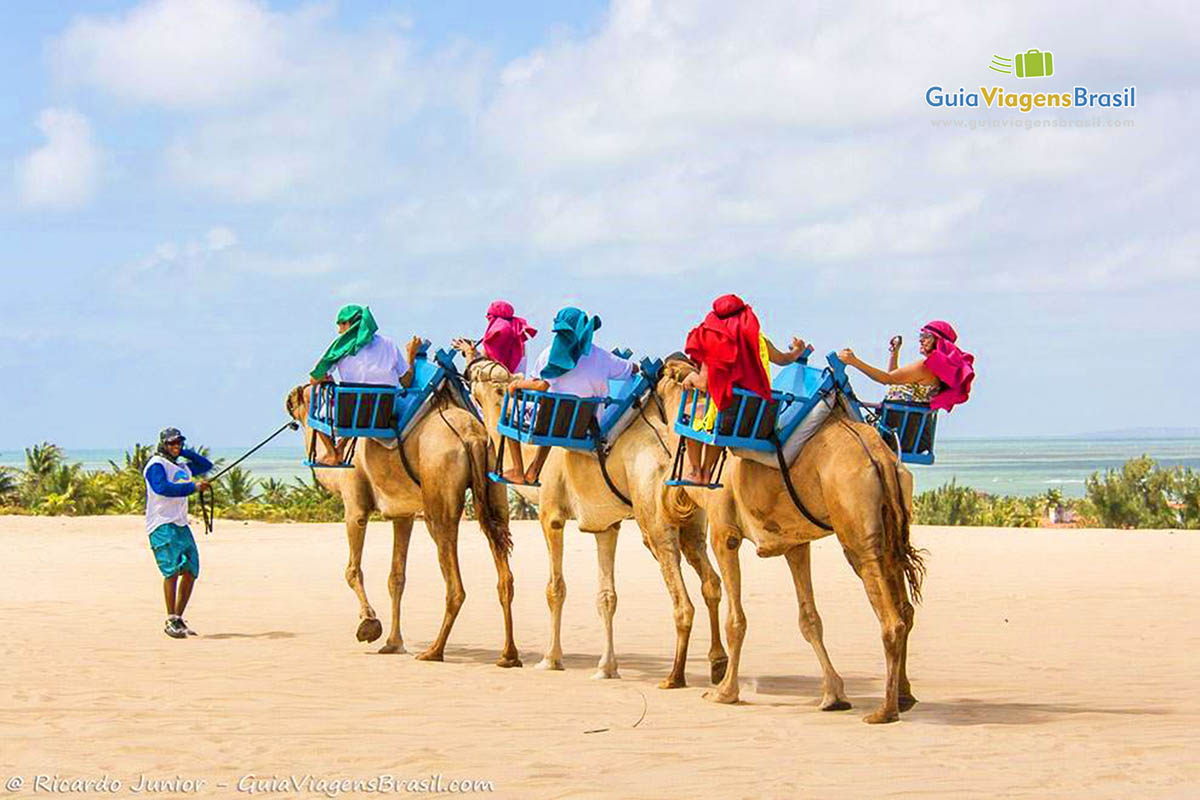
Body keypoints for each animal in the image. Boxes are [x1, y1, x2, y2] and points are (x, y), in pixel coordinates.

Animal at [288, 381, 523, 671]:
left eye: (303, 394)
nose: (288, 397)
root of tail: (472, 436)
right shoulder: (403, 515)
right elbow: (396, 578)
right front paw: (393, 643)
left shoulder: (355, 505)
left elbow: (352, 570)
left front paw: (369, 625)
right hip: (495, 485)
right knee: (505, 576)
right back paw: (508, 655)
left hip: (439, 492)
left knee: (454, 583)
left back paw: (434, 651)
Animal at [453, 347, 724, 690]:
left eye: (483, 372)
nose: (469, 360)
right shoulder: (606, 525)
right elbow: (607, 597)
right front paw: (607, 668)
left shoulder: (550, 513)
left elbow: (555, 589)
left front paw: (551, 659)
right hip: (693, 521)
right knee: (711, 583)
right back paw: (718, 664)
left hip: (655, 521)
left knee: (682, 600)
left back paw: (674, 677)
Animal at [657, 359, 916, 724]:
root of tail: (881, 459)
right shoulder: (795, 544)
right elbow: (810, 620)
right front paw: (833, 695)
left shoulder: (724, 533)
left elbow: (737, 620)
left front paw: (724, 692)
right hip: (890, 524)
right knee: (905, 608)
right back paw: (905, 696)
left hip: (856, 528)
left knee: (891, 617)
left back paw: (885, 710)